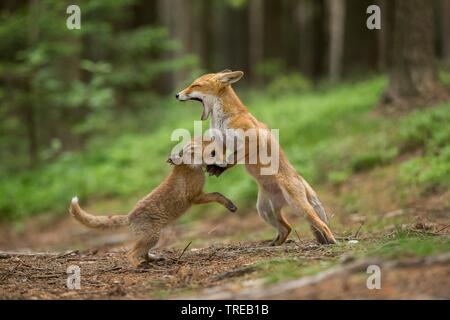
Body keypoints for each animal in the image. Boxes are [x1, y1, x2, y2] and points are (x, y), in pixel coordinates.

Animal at [69, 139, 237, 266]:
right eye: (213, 152)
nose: (229, 158)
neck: (190, 167)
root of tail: (130, 216)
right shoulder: (195, 197)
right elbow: (218, 195)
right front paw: (230, 205)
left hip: (151, 239)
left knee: (143, 254)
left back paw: (154, 260)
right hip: (152, 237)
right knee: (130, 253)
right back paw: (138, 266)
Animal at [176, 70, 338, 245]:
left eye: (195, 85)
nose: (177, 95)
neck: (223, 121)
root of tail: (300, 178)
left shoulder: (254, 140)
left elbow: (233, 157)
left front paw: (220, 166)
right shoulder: (222, 142)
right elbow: (222, 154)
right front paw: (215, 166)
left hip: (298, 207)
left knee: (321, 224)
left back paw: (332, 241)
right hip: (265, 211)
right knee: (286, 228)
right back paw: (275, 244)